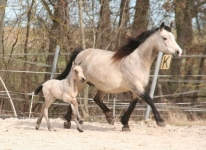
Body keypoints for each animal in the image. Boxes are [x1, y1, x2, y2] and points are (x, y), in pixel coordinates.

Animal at [34, 21, 183, 131]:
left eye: (174, 37)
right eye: (164, 38)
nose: (178, 52)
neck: (137, 61)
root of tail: (81, 53)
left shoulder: (136, 90)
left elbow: (133, 105)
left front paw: (125, 124)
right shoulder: (137, 88)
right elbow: (150, 100)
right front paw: (160, 121)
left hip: (103, 87)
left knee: (97, 99)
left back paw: (109, 117)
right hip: (81, 83)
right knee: (75, 99)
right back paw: (68, 123)